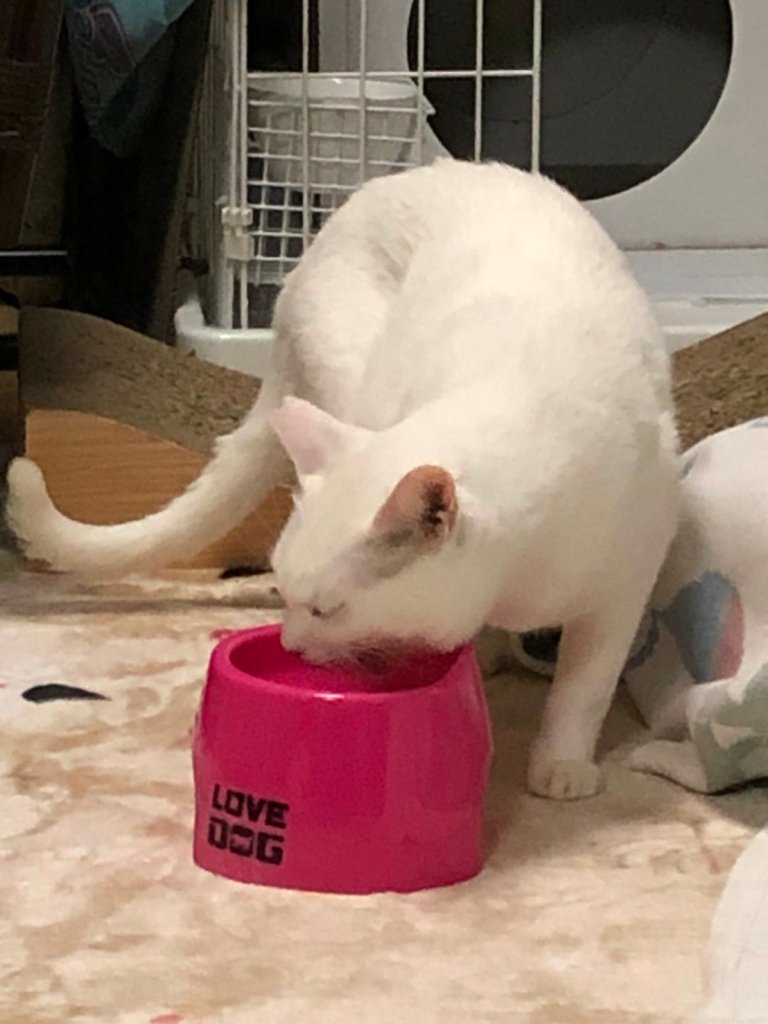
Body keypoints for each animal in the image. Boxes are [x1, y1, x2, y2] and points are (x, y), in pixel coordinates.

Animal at [6, 159, 680, 799]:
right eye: (284, 594)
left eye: (327, 609)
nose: (292, 646)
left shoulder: (627, 584)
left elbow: (585, 687)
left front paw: (562, 764)